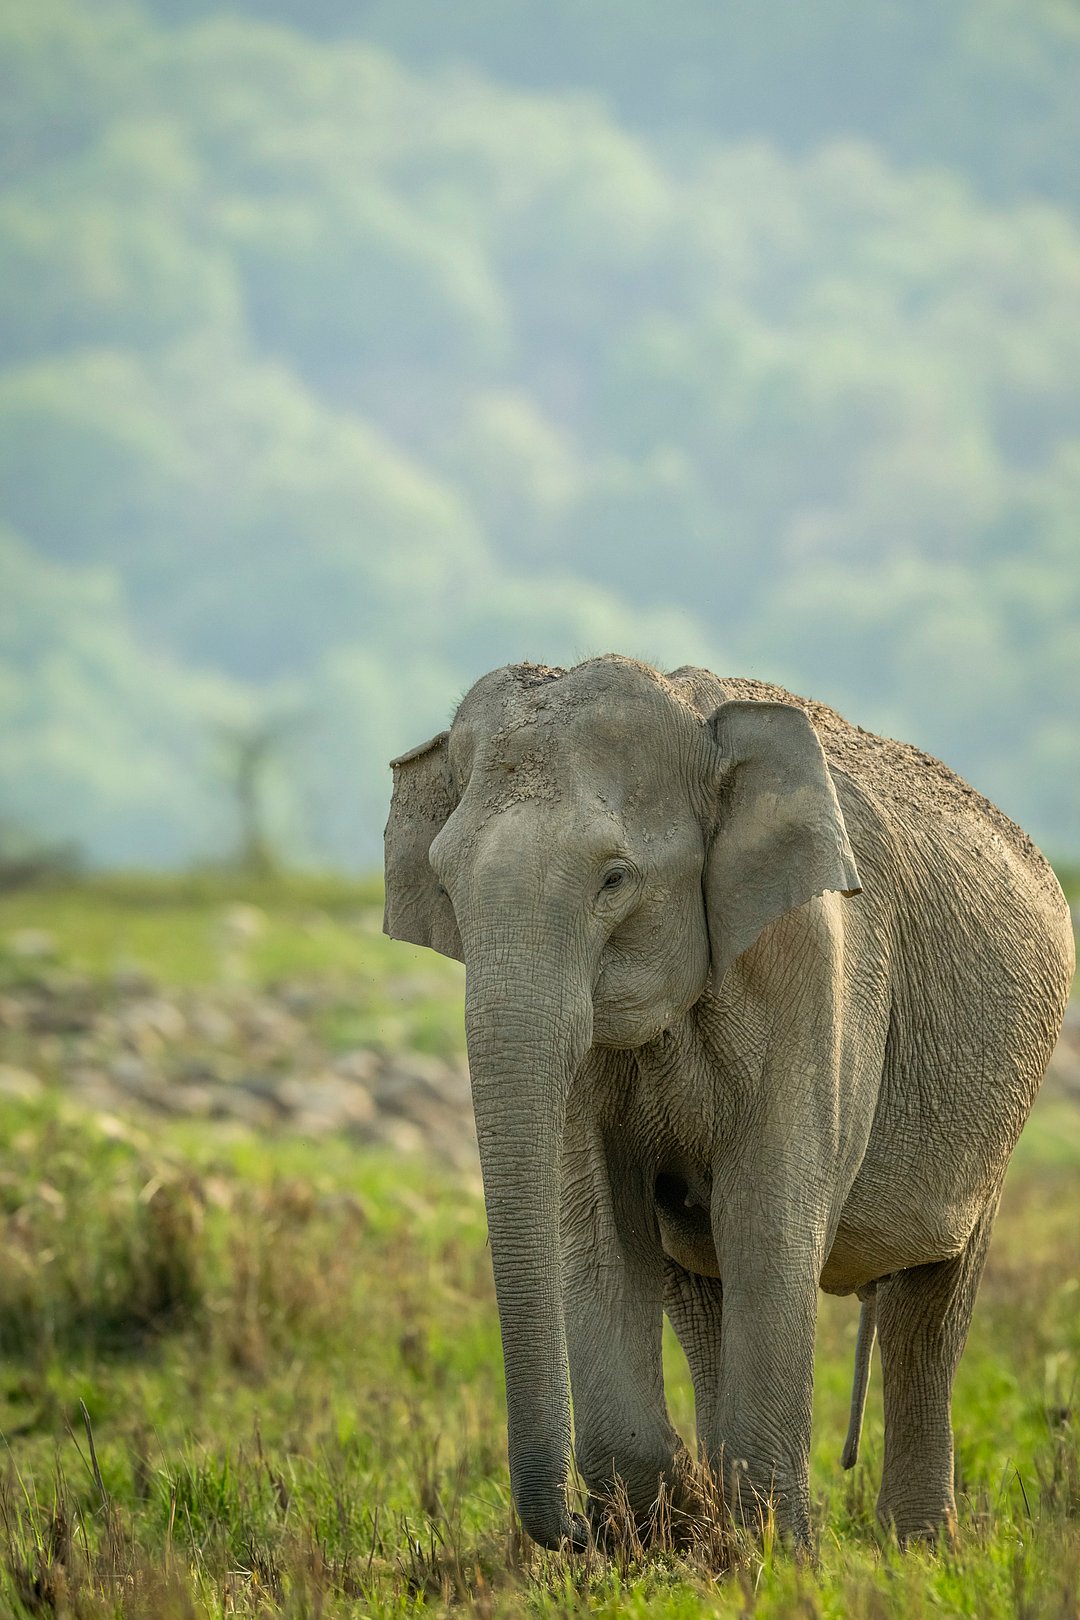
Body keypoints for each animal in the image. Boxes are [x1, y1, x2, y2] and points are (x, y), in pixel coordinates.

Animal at [383, 655, 1074, 1551]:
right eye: (444, 884)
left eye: (614, 880)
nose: (571, 1529)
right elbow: (601, 1229)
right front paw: (670, 1526)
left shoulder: (813, 965)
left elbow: (768, 1220)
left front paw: (783, 1557)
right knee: (697, 1290)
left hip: (999, 1114)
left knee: (929, 1305)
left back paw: (913, 1552)